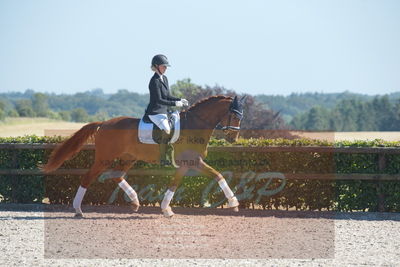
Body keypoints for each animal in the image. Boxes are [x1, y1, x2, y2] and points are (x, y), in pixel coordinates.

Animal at [43, 95, 244, 219]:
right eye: (235, 116)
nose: (233, 138)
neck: (194, 125)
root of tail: (104, 123)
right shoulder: (190, 162)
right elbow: (179, 183)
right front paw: (166, 209)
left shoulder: (193, 163)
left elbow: (216, 175)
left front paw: (233, 203)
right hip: (103, 159)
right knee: (88, 178)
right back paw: (78, 210)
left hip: (128, 158)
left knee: (117, 175)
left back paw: (135, 201)